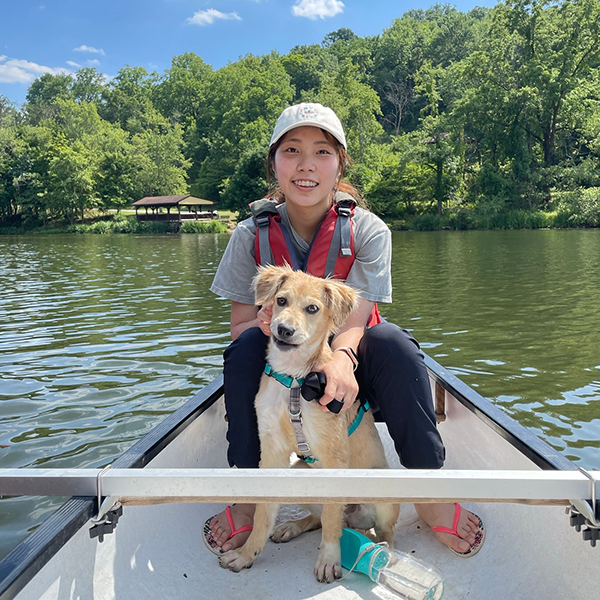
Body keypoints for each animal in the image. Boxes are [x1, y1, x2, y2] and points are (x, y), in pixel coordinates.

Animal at [220, 266, 398, 580]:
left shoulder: (334, 455)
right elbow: (263, 513)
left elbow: (331, 518)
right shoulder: (272, 452)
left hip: (383, 492)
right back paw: (292, 527)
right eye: (280, 300)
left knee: (381, 530)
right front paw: (246, 554)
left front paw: (329, 559)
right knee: (322, 518)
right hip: (298, 473)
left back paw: (383, 554)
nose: (283, 330)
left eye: (312, 308)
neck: (293, 379)